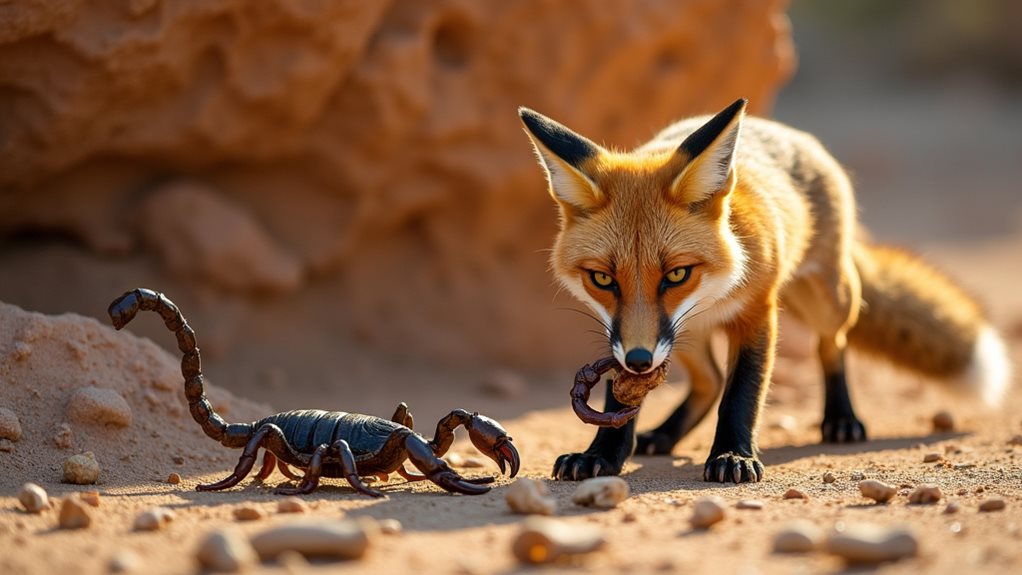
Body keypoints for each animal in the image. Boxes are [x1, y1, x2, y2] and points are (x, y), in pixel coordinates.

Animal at [518, 98, 1012, 483]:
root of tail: (788, 132)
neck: (718, 285)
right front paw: (601, 454)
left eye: (676, 275)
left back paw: (841, 418)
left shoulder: (757, 312)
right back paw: (663, 435)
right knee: (710, 380)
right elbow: (625, 399)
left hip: (830, 300)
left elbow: (742, 395)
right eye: (602, 279)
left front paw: (732, 456)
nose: (639, 361)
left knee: (830, 345)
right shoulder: (619, 331)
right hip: (686, 338)